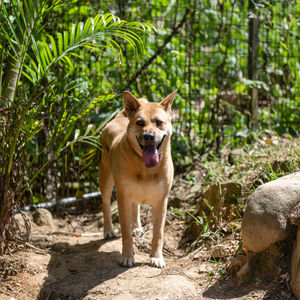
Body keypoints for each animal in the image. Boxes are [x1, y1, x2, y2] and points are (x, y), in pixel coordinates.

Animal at [98, 89, 178, 268]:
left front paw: (156, 257)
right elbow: (126, 233)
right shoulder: (122, 199)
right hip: (106, 180)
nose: (148, 136)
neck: (145, 169)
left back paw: (137, 226)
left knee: (136, 206)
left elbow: (158, 234)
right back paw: (108, 230)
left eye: (159, 122)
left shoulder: (161, 201)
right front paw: (127, 256)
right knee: (105, 204)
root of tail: (119, 117)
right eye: (140, 123)